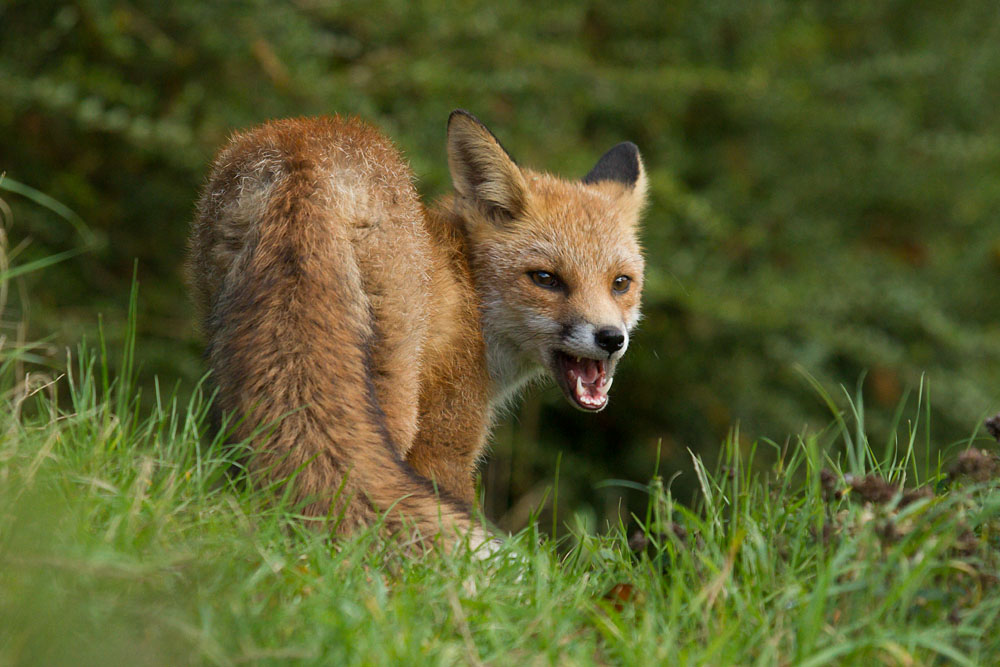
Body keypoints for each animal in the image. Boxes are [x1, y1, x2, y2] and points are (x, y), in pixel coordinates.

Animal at [188, 110, 647, 550]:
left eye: (621, 283)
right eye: (546, 279)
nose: (611, 338)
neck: (470, 292)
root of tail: (303, 157)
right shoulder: (444, 443)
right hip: (393, 392)